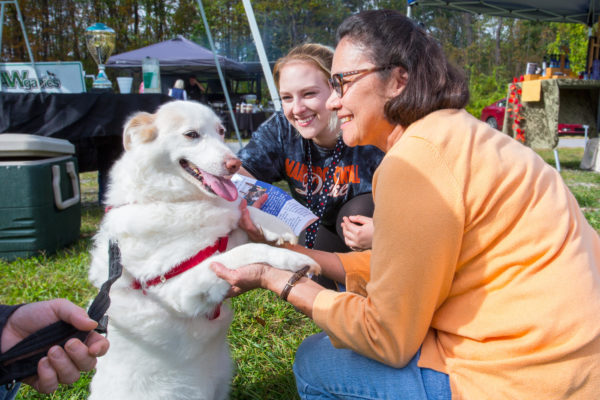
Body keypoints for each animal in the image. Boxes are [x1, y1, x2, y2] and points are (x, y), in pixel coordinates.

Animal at [87, 101, 322, 400]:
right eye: (191, 135)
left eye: (221, 131)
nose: (235, 164)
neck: (178, 201)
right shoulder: (179, 291)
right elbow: (246, 250)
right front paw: (292, 258)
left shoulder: (224, 234)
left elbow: (243, 214)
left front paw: (276, 227)